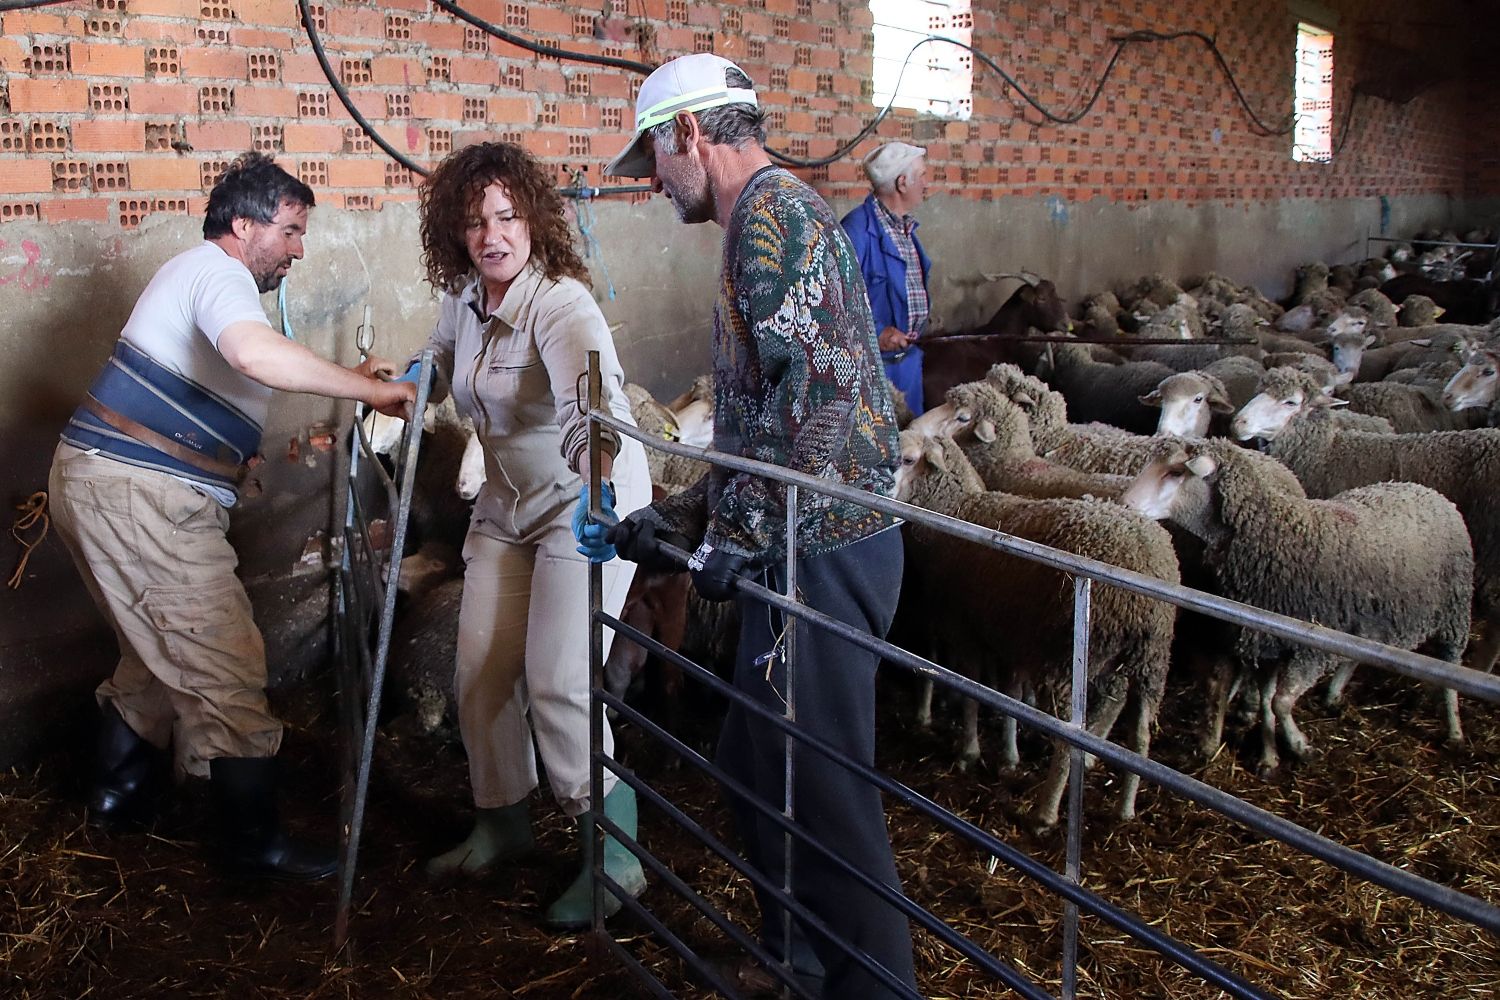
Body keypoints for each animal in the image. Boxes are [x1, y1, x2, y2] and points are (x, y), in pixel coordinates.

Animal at [888, 431, 1182, 827]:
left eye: (906, 459)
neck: (957, 510)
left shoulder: (965, 631)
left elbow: (971, 694)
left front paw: (969, 751)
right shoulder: (1013, 640)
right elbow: (1011, 694)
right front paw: (1010, 754)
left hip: (1069, 660)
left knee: (1072, 738)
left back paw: (1047, 810)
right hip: (1149, 658)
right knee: (1138, 731)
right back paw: (1124, 805)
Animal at [1122, 440, 1470, 773]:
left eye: (1175, 473)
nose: (1125, 504)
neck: (1271, 535)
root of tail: (1424, 490)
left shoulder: (1311, 647)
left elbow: (1281, 702)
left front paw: (1301, 747)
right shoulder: (1268, 642)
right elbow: (1266, 700)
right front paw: (1269, 757)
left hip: (1455, 610)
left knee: (1451, 665)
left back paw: (1455, 730)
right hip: (1368, 624)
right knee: (1354, 658)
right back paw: (1333, 696)